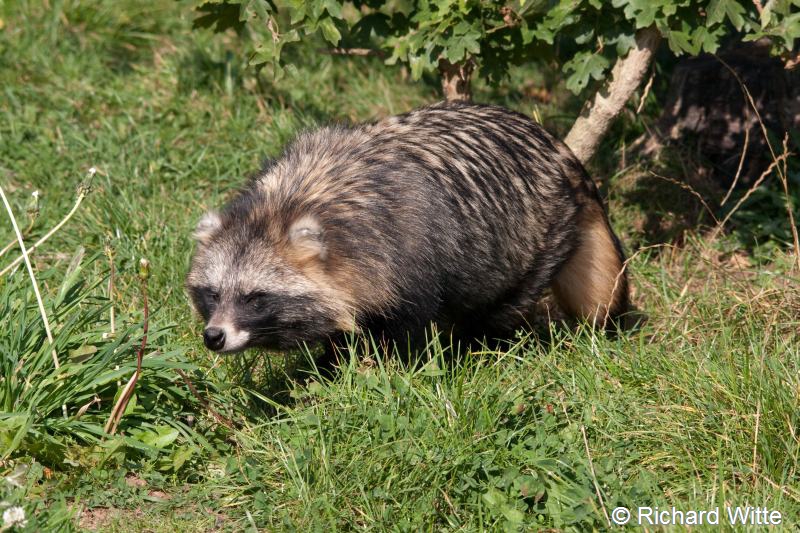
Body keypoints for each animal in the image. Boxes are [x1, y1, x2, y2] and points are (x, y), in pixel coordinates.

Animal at [186, 103, 624, 354]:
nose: (214, 336)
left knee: (500, 306)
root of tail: (561, 149)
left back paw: (477, 344)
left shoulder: (412, 248)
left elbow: (405, 329)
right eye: (213, 293)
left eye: (255, 298)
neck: (287, 202)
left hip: (536, 238)